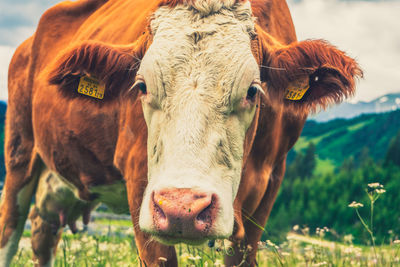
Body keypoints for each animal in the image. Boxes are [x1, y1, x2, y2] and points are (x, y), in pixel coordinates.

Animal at [0, 0, 362, 266]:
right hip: (19, 155)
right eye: (141, 86)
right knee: (10, 231)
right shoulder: (140, 182)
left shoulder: (270, 183)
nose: (182, 208)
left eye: (252, 90)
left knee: (43, 235)